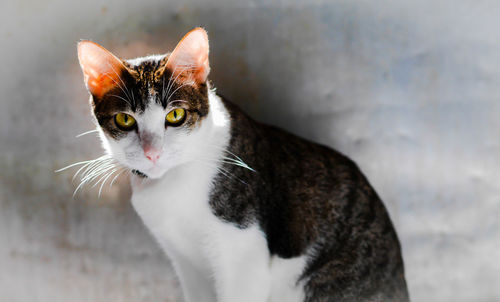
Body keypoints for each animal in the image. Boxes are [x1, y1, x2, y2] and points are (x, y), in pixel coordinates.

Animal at [76, 28, 408, 302]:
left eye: (175, 116)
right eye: (124, 119)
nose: (152, 152)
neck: (174, 184)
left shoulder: (242, 254)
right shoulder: (186, 262)